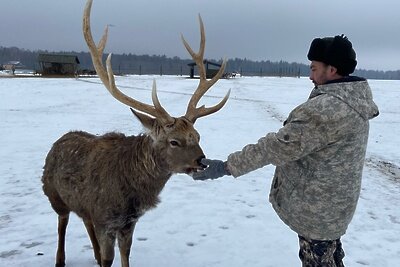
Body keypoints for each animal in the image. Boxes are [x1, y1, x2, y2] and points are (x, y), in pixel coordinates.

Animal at [41, 0, 230, 267]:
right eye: (174, 141)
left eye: (198, 135)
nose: (202, 161)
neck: (129, 195)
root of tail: (58, 141)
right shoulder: (105, 218)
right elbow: (109, 259)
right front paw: (101, 258)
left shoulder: (128, 222)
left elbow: (126, 253)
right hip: (54, 195)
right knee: (62, 223)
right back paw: (60, 259)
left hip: (83, 207)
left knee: (84, 221)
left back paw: (92, 254)